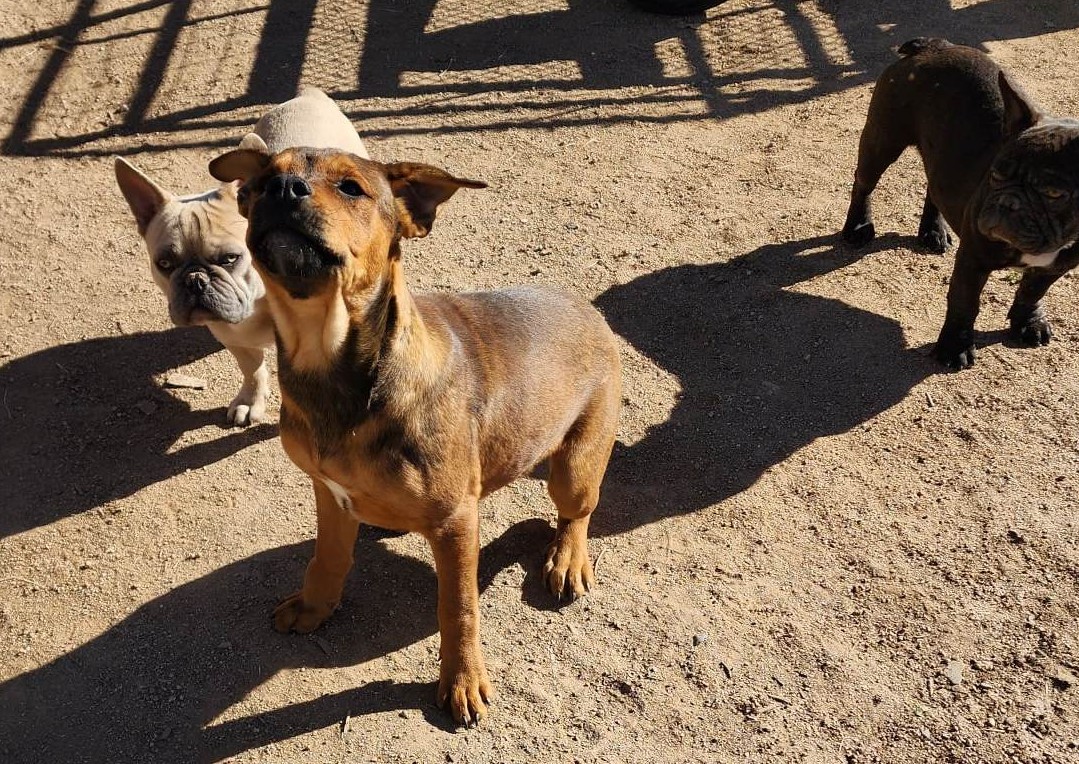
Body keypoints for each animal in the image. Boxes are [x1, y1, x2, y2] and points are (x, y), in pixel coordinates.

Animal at [208, 146, 625, 725]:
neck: (334, 370)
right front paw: (314, 607)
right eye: (267, 178)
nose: (284, 189)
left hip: (575, 465)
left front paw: (462, 681)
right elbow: (327, 558)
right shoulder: (328, 493)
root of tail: (588, 307)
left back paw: (567, 559)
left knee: (575, 513)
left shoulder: (454, 523)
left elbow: (458, 608)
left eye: (351, 188)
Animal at [841, 38, 1079, 366]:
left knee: (935, 189)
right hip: (883, 139)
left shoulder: (1055, 267)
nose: (1007, 202)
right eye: (995, 173)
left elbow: (1032, 292)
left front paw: (1028, 322)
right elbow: (965, 302)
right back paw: (858, 227)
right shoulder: (973, 258)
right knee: (864, 183)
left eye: (1054, 193)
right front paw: (955, 348)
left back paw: (933, 232)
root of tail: (933, 45)